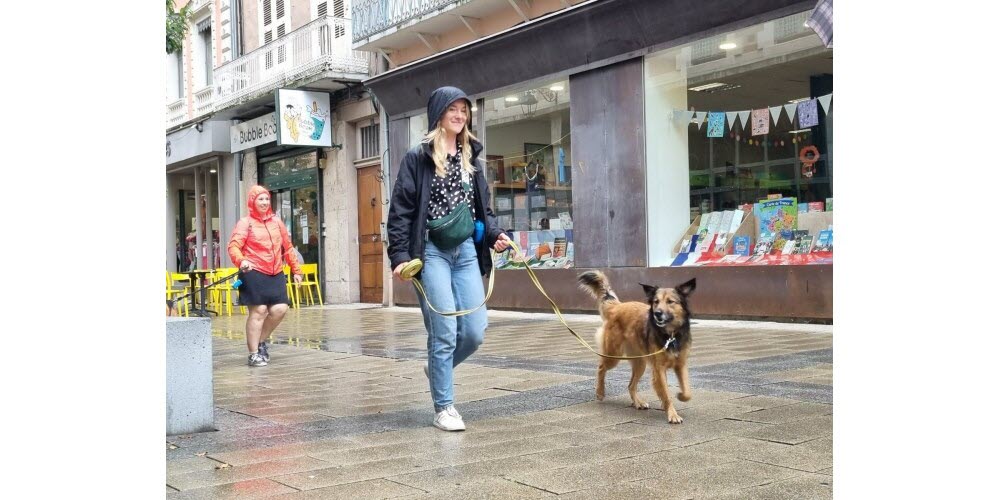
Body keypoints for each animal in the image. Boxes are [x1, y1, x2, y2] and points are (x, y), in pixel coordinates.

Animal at [580, 272, 696, 424]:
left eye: (670, 301)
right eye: (655, 301)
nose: (657, 313)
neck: (670, 335)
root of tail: (617, 307)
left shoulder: (680, 364)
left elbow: (687, 392)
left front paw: (681, 395)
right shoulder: (659, 369)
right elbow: (666, 393)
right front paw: (672, 414)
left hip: (640, 363)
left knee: (630, 385)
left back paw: (638, 403)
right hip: (614, 355)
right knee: (601, 367)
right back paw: (600, 392)